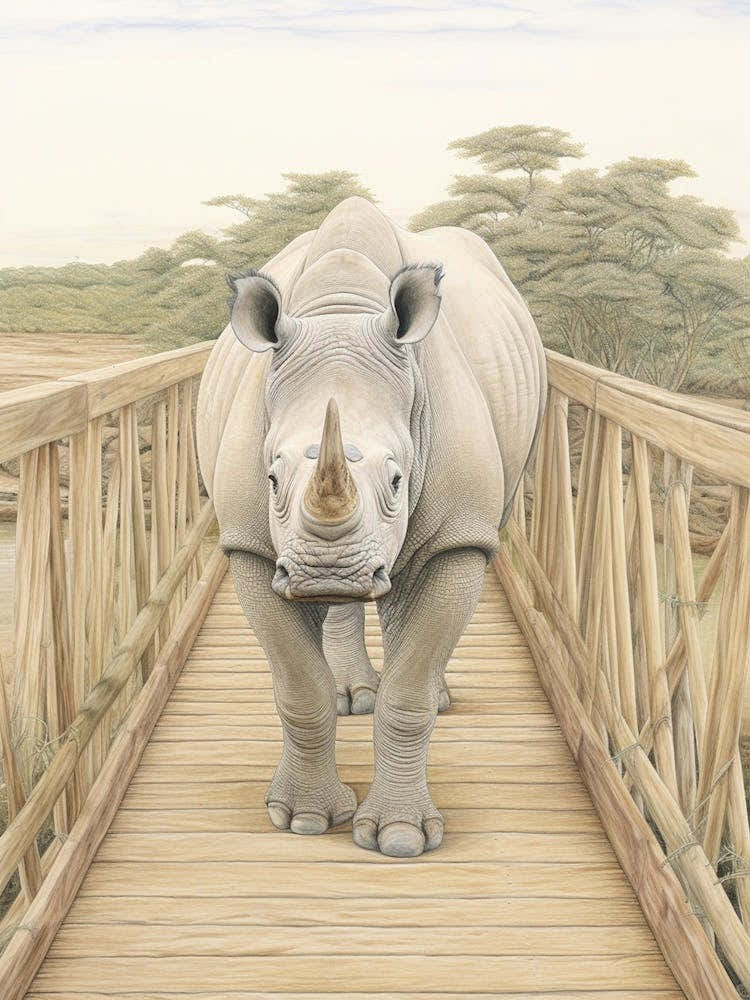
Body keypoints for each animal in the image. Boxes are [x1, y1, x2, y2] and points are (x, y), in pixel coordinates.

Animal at [197, 197, 546, 857]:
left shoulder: (459, 537)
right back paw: (349, 693)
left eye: (397, 480)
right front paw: (303, 820)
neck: (343, 312)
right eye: (271, 477)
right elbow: (297, 688)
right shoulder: (254, 549)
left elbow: (409, 692)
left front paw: (401, 837)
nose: (327, 570)